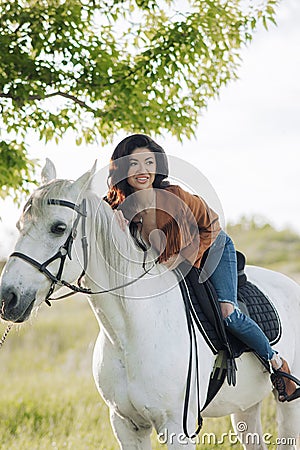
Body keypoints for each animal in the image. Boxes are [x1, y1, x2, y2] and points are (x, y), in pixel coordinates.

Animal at [1, 160, 300, 448]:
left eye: (59, 228)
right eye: (18, 226)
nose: (7, 297)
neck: (128, 334)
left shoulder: (178, 429)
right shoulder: (126, 425)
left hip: (289, 408)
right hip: (245, 406)